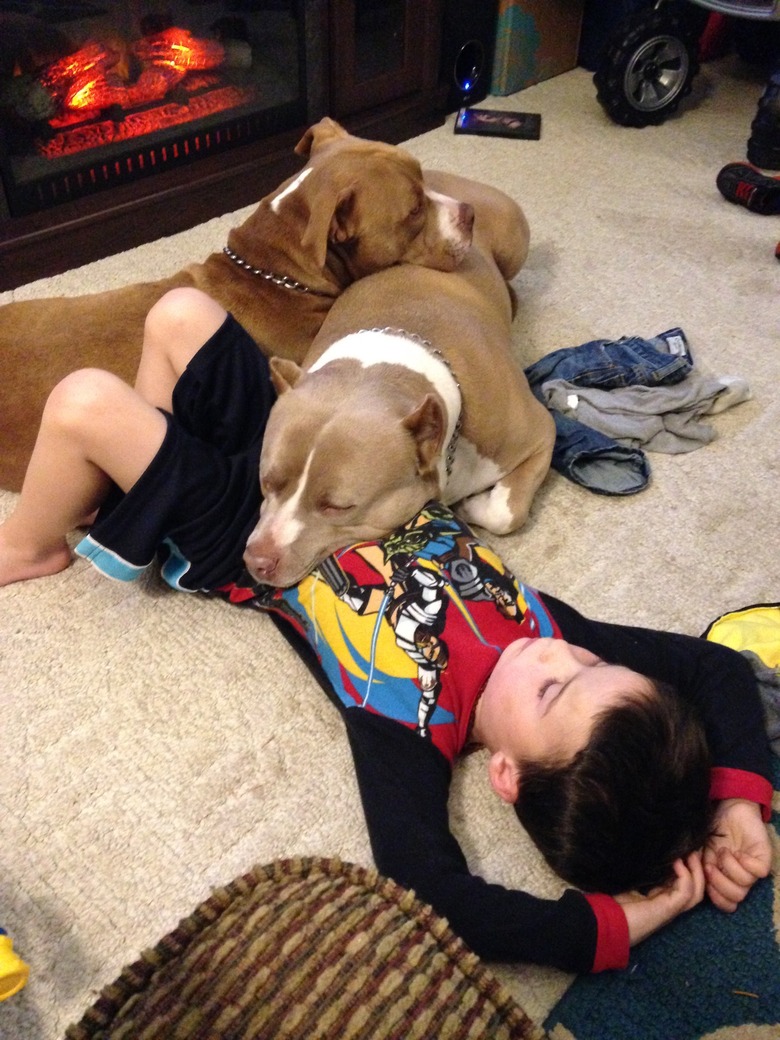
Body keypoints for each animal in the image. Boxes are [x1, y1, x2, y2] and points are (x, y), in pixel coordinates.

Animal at [244, 174, 557, 590]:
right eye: (267, 481)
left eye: (337, 506)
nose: (257, 561)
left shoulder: (540, 431)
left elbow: (508, 513)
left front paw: (475, 505)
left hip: (511, 240)